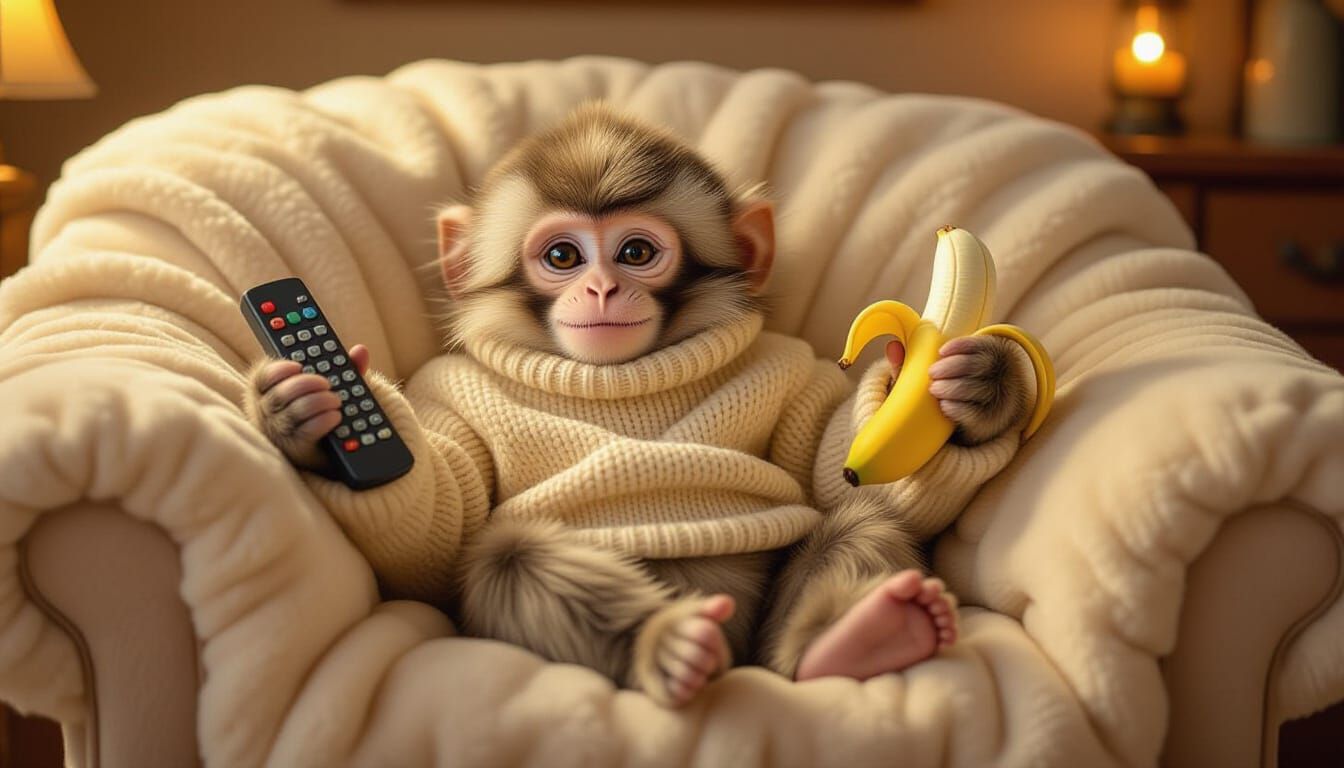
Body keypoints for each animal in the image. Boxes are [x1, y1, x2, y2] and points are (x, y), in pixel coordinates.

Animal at [243, 103, 1035, 707]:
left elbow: (829, 470)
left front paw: (977, 390)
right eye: (562, 257)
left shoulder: (791, 371)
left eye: (634, 252)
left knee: (858, 520)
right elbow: (438, 530)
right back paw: (674, 644)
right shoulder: (450, 395)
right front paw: (304, 413)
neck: (618, 381)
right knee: (509, 556)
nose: (601, 289)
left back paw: (858, 636)